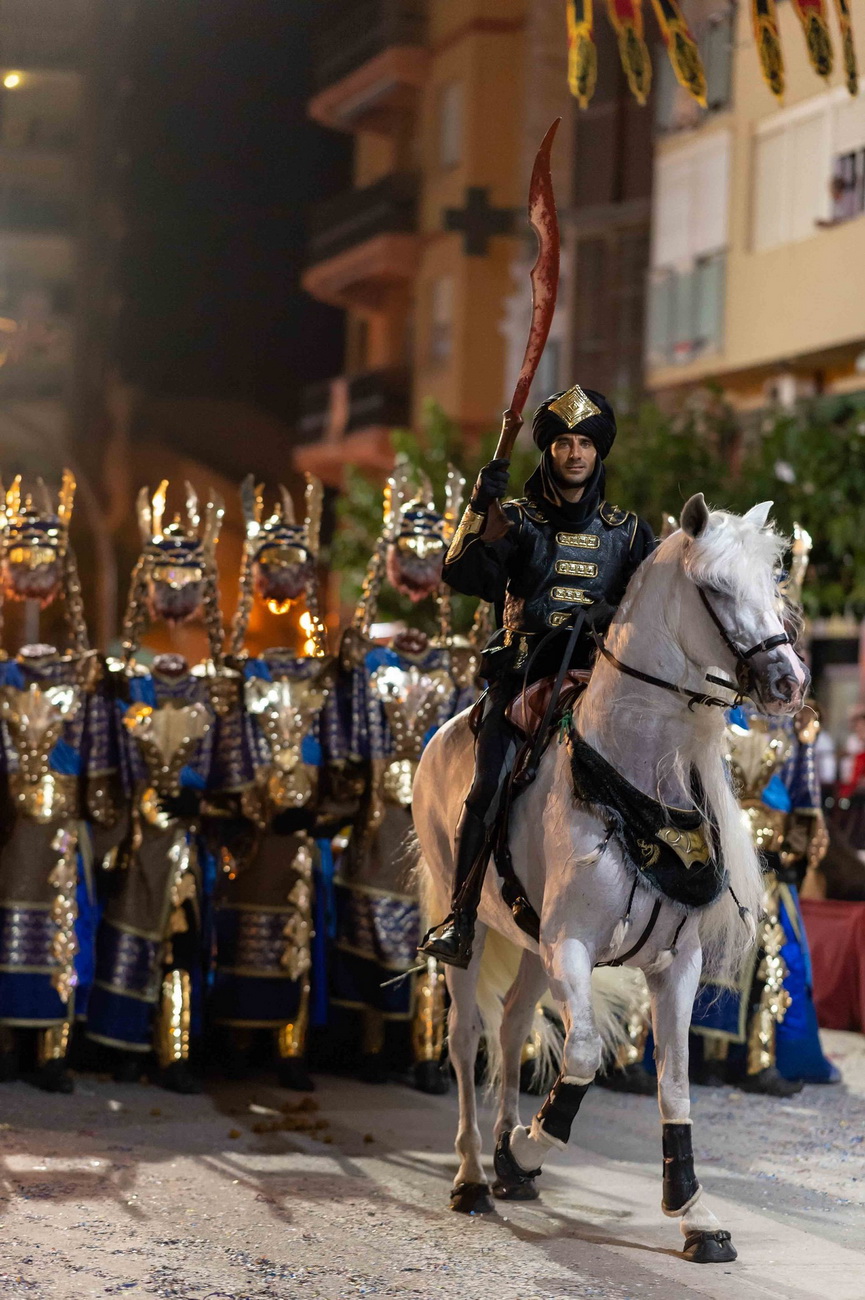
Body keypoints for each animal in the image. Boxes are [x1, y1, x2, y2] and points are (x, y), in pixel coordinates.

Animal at [412, 494, 809, 1264]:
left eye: (770, 580)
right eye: (716, 588)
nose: (789, 682)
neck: (631, 783)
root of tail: (441, 735)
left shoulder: (674, 963)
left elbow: (674, 1082)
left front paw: (692, 1212)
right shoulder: (571, 945)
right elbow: (585, 1055)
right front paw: (532, 1142)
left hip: (528, 943)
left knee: (512, 1028)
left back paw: (504, 1168)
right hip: (467, 927)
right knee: (467, 1038)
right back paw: (475, 1172)